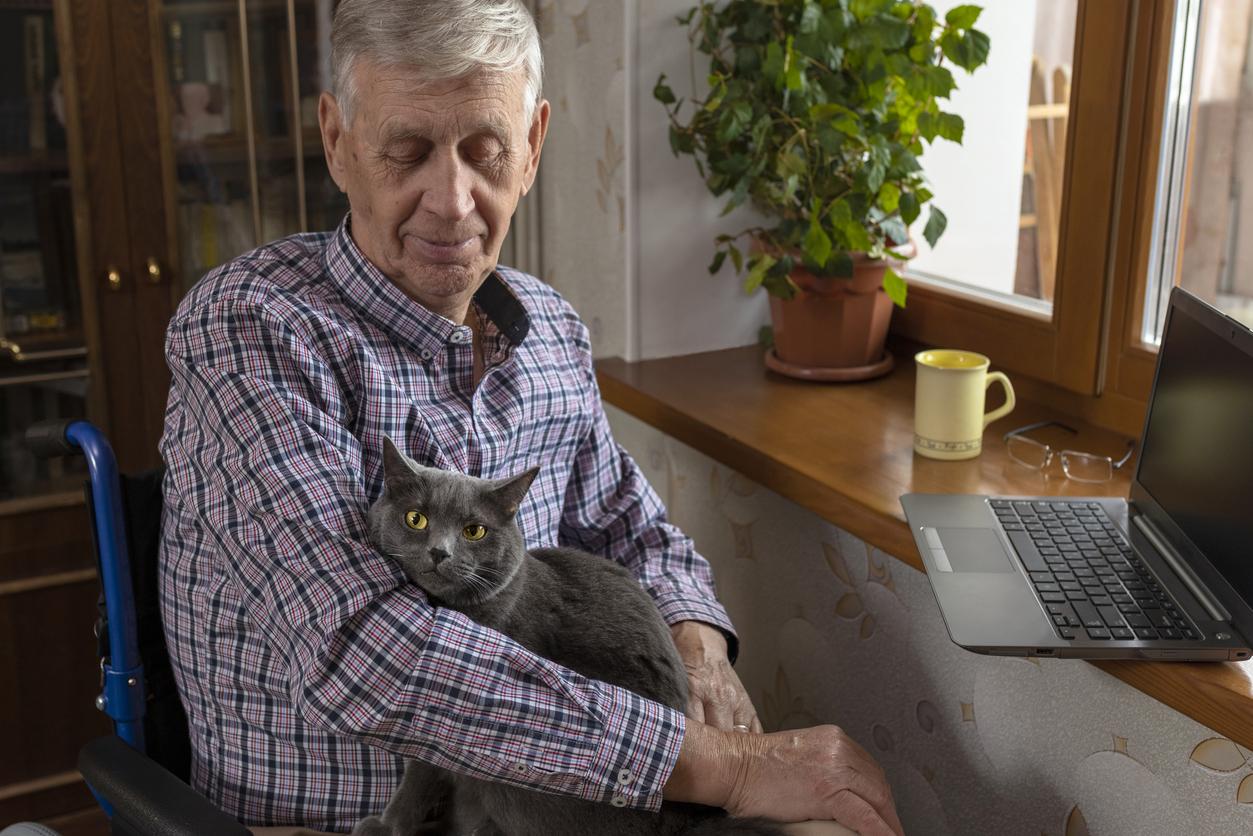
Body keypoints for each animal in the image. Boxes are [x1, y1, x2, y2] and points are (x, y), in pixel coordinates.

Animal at [353, 438, 781, 836]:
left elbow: (419, 777)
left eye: (474, 531)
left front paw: (385, 826)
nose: (439, 552)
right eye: (416, 518)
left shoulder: (444, 724)